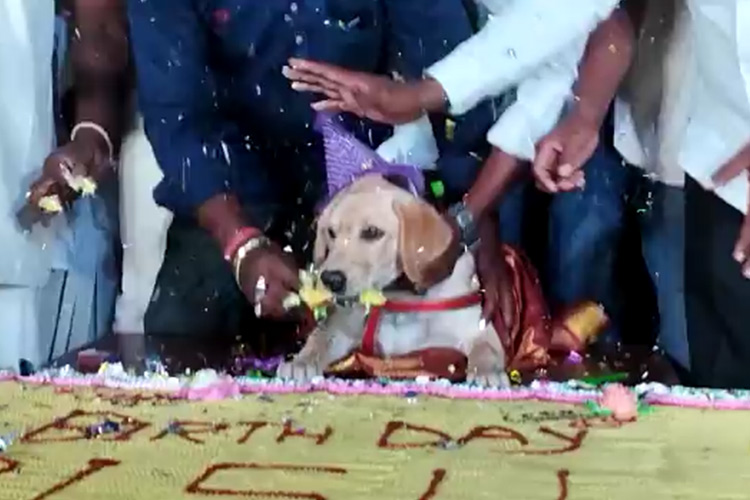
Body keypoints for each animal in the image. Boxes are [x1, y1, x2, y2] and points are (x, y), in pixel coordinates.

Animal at [276, 174, 512, 388]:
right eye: (331, 233)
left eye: (372, 232)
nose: (330, 279)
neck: (397, 299)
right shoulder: (340, 328)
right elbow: (319, 338)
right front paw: (300, 362)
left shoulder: (477, 329)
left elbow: (486, 350)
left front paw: (488, 372)